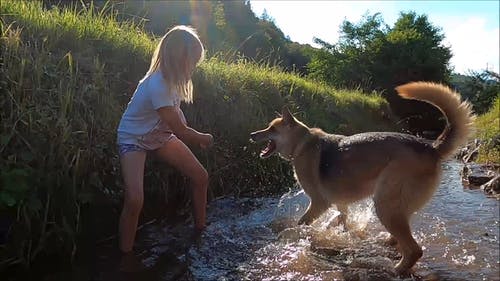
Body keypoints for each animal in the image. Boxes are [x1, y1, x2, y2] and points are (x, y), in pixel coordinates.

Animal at [249, 81, 472, 274]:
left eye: (272, 129)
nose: (252, 134)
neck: (301, 144)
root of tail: (431, 147)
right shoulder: (340, 203)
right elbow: (339, 219)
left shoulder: (319, 203)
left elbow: (302, 224)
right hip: (395, 207)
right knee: (399, 240)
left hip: (385, 204)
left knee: (414, 250)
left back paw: (395, 269)